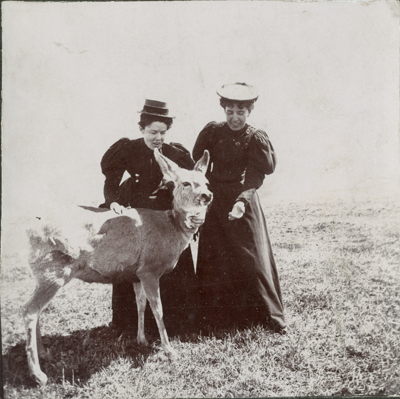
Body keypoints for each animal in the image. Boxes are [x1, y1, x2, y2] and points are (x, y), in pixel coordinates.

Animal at [21, 148, 212, 386]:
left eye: (206, 181)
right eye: (185, 183)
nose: (207, 195)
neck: (170, 230)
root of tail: (29, 229)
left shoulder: (135, 273)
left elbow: (140, 304)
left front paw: (142, 340)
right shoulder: (149, 269)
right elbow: (158, 309)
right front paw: (169, 351)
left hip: (43, 273)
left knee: (35, 310)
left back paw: (44, 353)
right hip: (53, 270)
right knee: (29, 311)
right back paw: (38, 375)